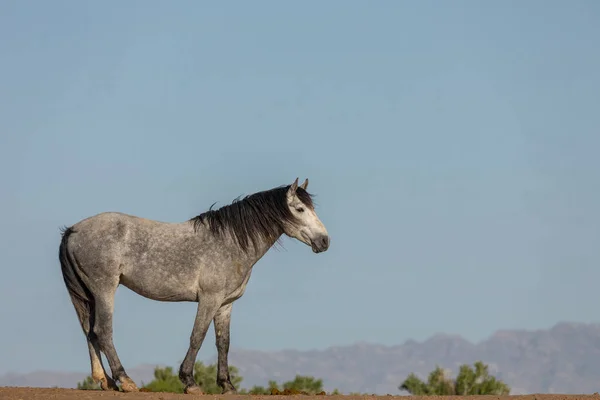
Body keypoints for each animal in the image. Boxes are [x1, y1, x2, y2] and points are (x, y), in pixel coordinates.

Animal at [57, 178, 328, 394]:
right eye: (300, 208)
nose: (324, 241)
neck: (230, 242)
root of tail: (73, 230)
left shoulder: (225, 304)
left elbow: (223, 343)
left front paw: (227, 385)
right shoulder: (209, 299)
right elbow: (197, 336)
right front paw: (189, 382)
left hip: (87, 295)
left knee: (89, 332)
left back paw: (106, 381)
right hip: (104, 290)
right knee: (103, 332)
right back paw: (125, 381)